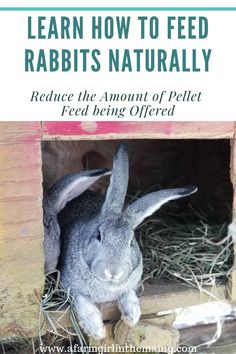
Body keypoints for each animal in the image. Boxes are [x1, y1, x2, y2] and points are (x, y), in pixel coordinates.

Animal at [42, 144, 197, 340]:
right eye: (99, 236)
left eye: (131, 241)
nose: (113, 272)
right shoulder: (67, 284)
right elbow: (81, 300)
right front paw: (96, 330)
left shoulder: (129, 284)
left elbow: (128, 294)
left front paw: (133, 316)